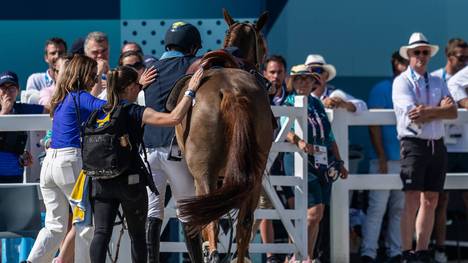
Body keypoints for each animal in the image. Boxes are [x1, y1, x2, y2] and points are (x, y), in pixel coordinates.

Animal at [176, 9, 272, 263]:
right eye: (263, 44)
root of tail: (232, 91)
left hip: (204, 174)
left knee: (210, 219)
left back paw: (212, 253)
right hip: (254, 175)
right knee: (244, 223)